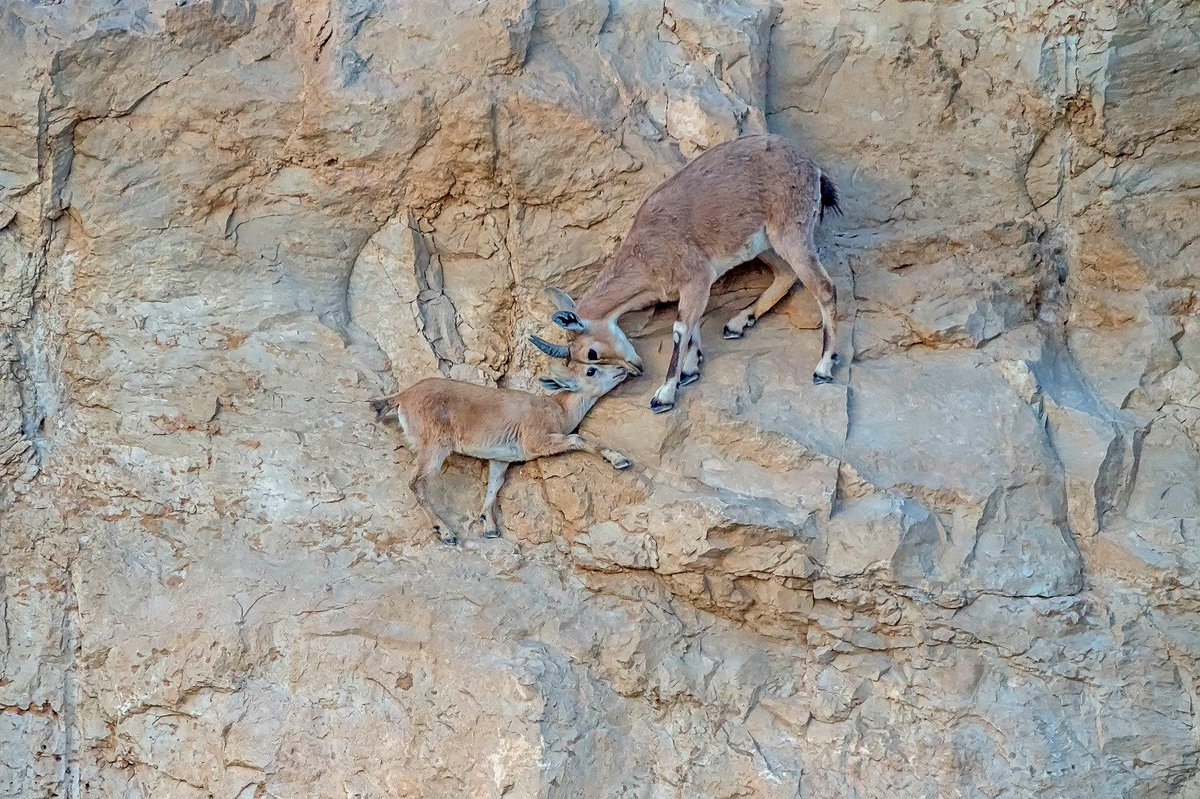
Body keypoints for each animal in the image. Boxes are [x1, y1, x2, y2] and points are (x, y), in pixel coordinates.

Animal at [369, 357, 633, 544]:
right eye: (591, 371)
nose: (622, 369)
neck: (558, 410)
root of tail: (403, 397)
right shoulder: (536, 441)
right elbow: (578, 438)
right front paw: (618, 459)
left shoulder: (501, 458)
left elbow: (494, 485)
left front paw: (489, 526)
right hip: (435, 445)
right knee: (417, 482)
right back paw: (445, 532)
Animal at [530, 131, 840, 410]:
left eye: (591, 355)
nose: (635, 368)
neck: (645, 252)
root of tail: (812, 167)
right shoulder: (694, 287)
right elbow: (694, 322)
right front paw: (691, 368)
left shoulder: (696, 277)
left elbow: (680, 328)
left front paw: (664, 393)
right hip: (762, 244)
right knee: (786, 274)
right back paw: (738, 322)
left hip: (790, 233)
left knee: (824, 288)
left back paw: (823, 367)